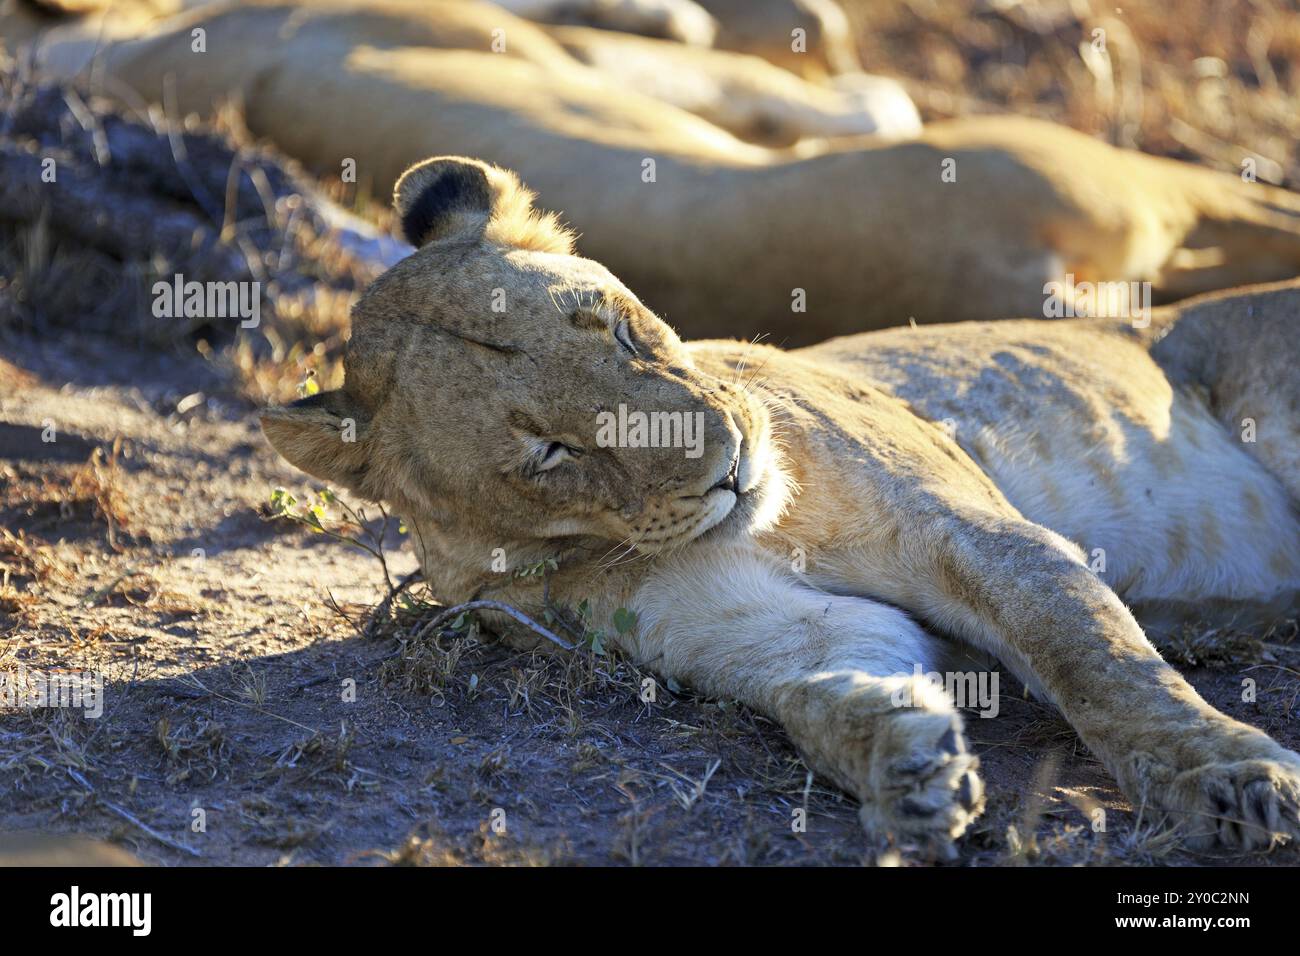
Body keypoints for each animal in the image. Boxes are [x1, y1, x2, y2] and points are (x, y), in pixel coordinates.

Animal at [262, 155, 1300, 853]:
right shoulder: (750, 629)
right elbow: (819, 689)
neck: (771, 523)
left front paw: (1232, 778)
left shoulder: (980, 535)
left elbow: (1105, 669)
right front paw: (903, 763)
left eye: (619, 331)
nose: (728, 462)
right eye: (550, 451)